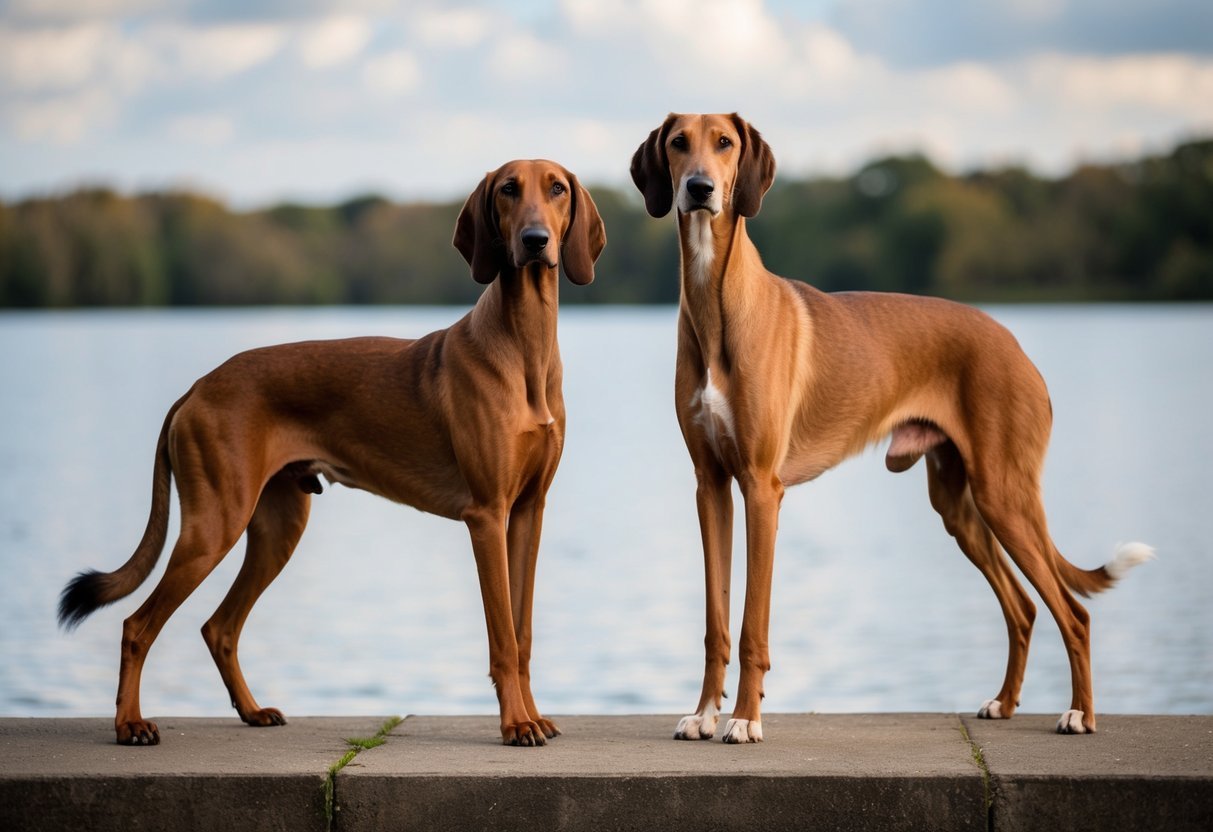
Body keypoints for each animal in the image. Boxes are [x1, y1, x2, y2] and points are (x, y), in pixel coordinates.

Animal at [60, 157, 606, 751]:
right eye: (508, 189)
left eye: (557, 189)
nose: (535, 241)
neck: (525, 347)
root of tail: (196, 389)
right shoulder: (486, 516)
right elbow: (503, 638)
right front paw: (515, 724)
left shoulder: (528, 512)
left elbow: (523, 633)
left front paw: (534, 717)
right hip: (214, 525)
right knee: (137, 626)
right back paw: (130, 724)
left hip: (278, 527)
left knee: (219, 626)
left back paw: (252, 711)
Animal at [630, 114, 1149, 747]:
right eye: (678, 143)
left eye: (725, 144)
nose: (700, 188)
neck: (717, 305)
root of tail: (1015, 345)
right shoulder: (712, 486)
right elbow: (716, 620)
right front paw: (705, 713)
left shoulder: (761, 489)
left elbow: (753, 623)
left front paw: (746, 720)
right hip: (959, 506)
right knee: (1023, 608)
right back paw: (1003, 704)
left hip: (1004, 495)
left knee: (1073, 612)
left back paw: (1079, 715)